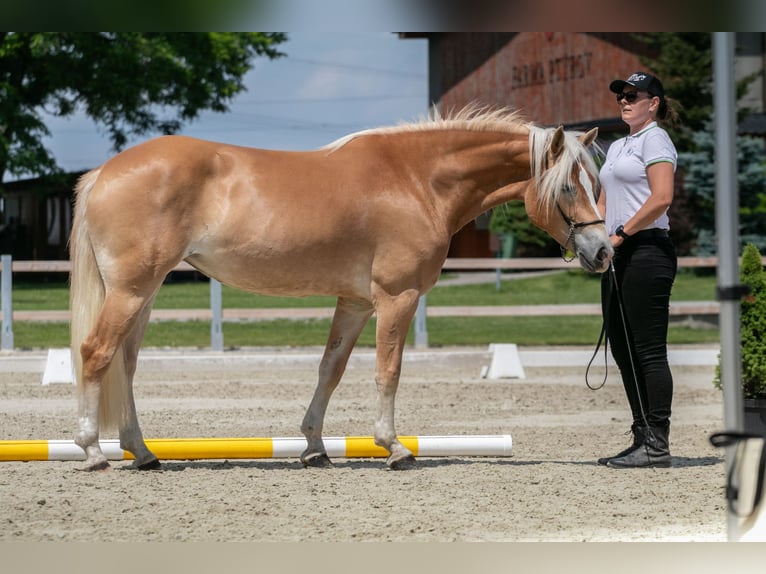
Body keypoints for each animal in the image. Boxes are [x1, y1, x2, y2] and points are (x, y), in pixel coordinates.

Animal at [69, 107, 616, 472]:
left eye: (596, 183)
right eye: (568, 187)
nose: (603, 252)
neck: (416, 180)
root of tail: (104, 172)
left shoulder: (355, 302)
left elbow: (329, 370)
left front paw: (314, 448)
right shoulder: (396, 298)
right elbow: (388, 371)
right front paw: (394, 447)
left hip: (143, 293)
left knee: (125, 364)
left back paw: (143, 453)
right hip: (132, 290)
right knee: (96, 353)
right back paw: (93, 451)